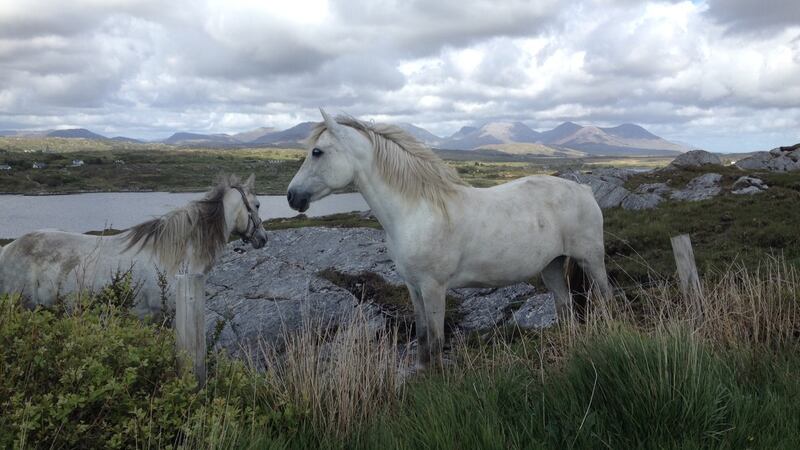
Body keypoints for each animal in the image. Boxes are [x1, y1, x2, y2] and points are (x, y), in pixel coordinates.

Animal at [287, 110, 612, 367]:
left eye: (317, 152)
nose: (292, 196)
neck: (416, 211)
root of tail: (584, 190)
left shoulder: (434, 288)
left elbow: (435, 339)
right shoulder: (413, 287)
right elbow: (421, 335)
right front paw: (421, 373)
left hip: (591, 261)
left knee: (605, 297)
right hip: (552, 266)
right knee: (565, 307)